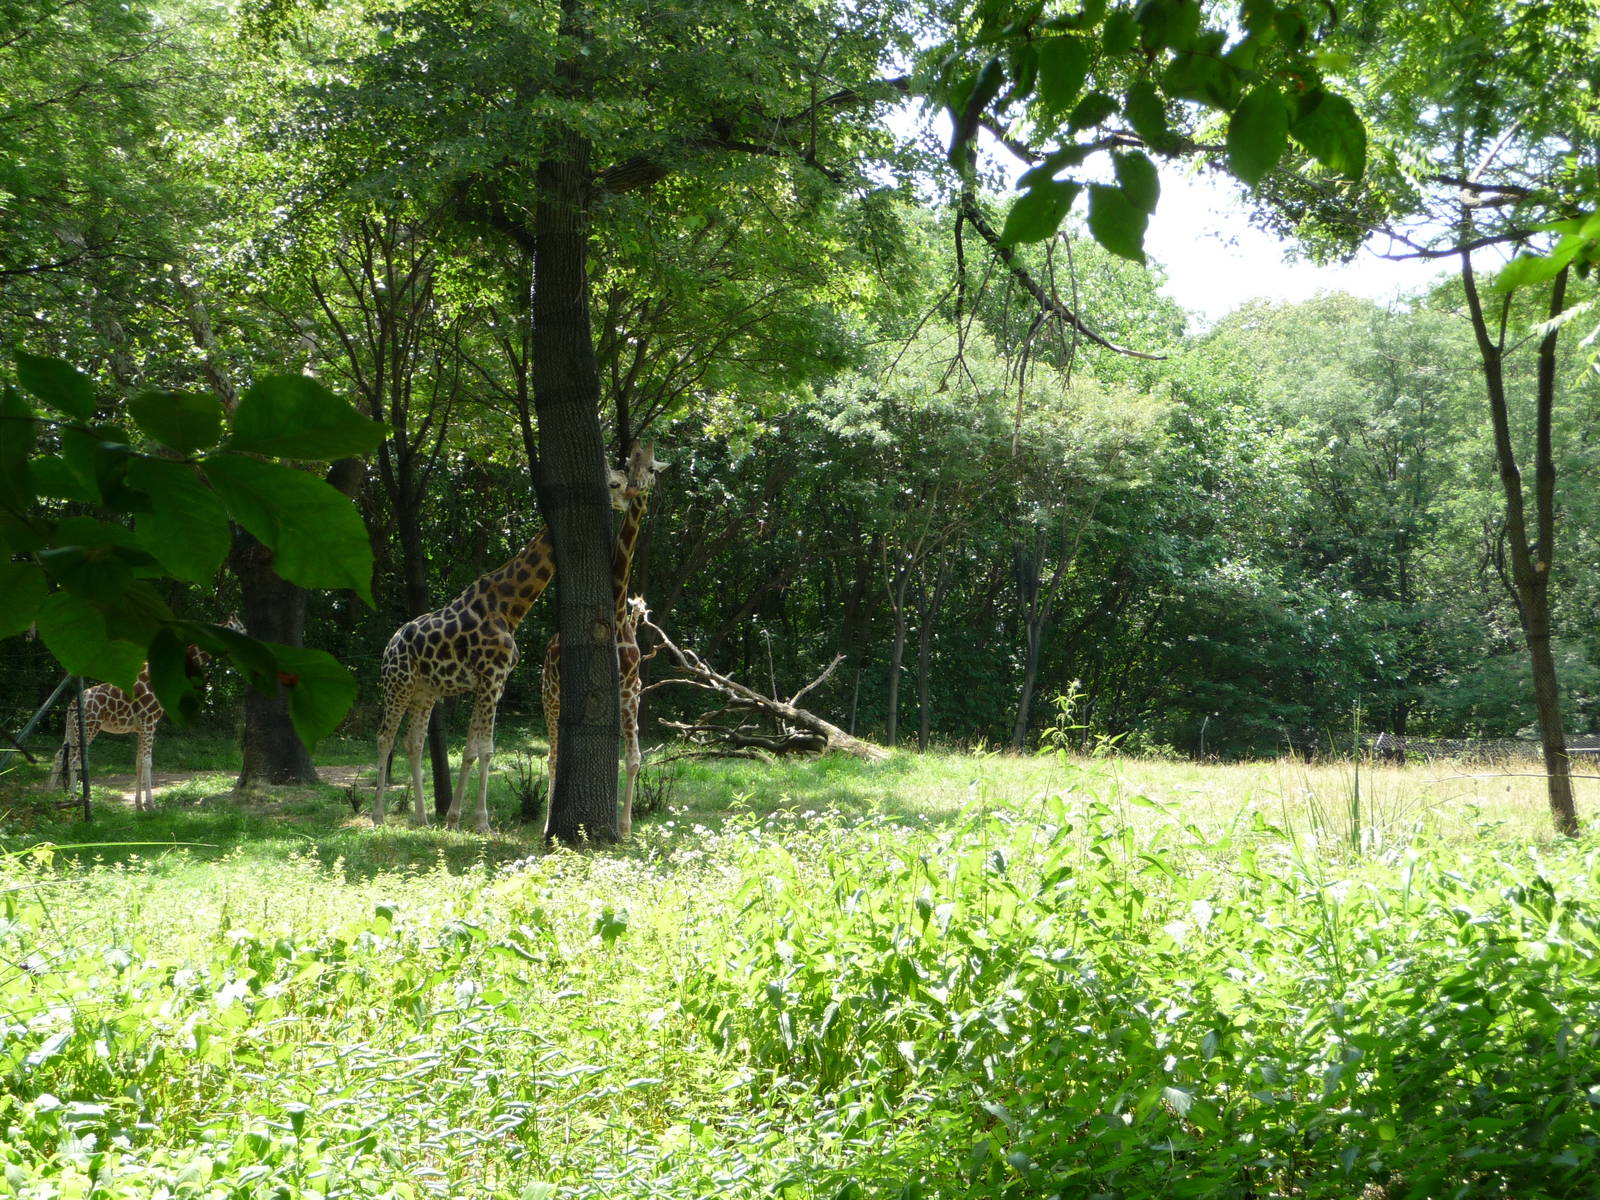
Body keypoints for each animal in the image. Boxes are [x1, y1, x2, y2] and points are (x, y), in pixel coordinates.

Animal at [47, 643, 215, 811]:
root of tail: (72, 703)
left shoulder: (140, 728)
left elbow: (138, 762)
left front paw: (139, 804)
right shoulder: (149, 721)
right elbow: (147, 762)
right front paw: (151, 804)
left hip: (71, 728)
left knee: (61, 755)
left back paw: (48, 794)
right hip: (89, 727)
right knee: (75, 760)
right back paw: (74, 797)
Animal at [371, 466, 631, 833]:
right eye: (614, 484)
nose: (629, 499)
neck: (510, 606)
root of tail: (389, 646)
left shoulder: (492, 683)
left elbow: (471, 748)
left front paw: (454, 819)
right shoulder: (491, 678)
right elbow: (486, 749)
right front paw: (481, 822)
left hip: (425, 691)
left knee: (413, 741)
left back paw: (421, 817)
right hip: (398, 685)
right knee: (384, 737)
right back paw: (378, 815)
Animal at [542, 442, 665, 838]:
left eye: (652, 468)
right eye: (626, 466)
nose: (634, 490)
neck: (619, 615)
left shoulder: (630, 692)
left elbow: (634, 759)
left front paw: (623, 827)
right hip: (550, 696)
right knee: (552, 756)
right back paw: (546, 823)